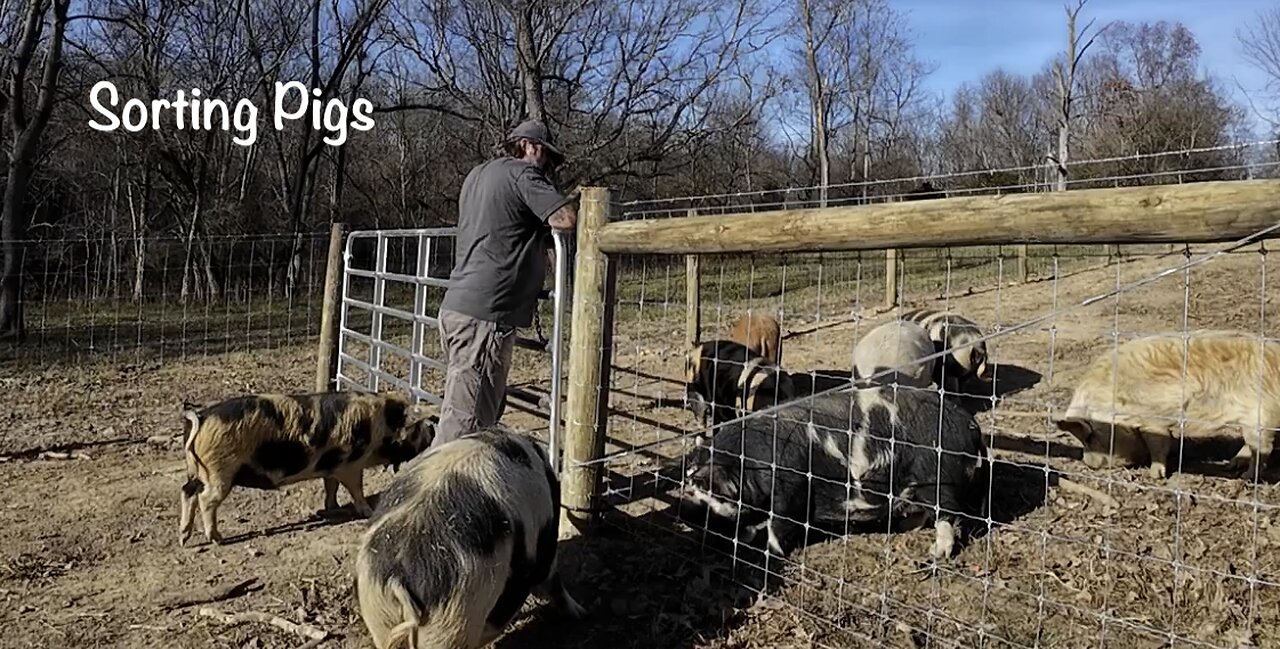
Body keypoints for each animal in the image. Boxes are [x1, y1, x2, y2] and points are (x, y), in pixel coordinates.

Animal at [177, 391, 440, 547]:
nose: (432, 432)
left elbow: (330, 485)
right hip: (220, 471)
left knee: (187, 492)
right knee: (206, 499)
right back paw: (217, 539)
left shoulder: (332, 467)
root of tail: (202, 416)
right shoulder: (351, 465)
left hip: (197, 471)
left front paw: (332, 507)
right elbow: (356, 489)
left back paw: (183, 537)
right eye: (418, 427)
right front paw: (367, 511)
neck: (381, 424)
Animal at [355, 427, 586, 649]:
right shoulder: (546, 547)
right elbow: (553, 582)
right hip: (453, 618)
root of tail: (397, 573)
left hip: (379, 613)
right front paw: (581, 613)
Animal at [680, 384, 988, 560]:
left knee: (947, 514)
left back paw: (935, 555)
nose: (684, 511)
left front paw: (769, 553)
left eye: (705, 490)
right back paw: (904, 527)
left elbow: (779, 524)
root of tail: (969, 423)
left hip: (938, 478)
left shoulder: (791, 487)